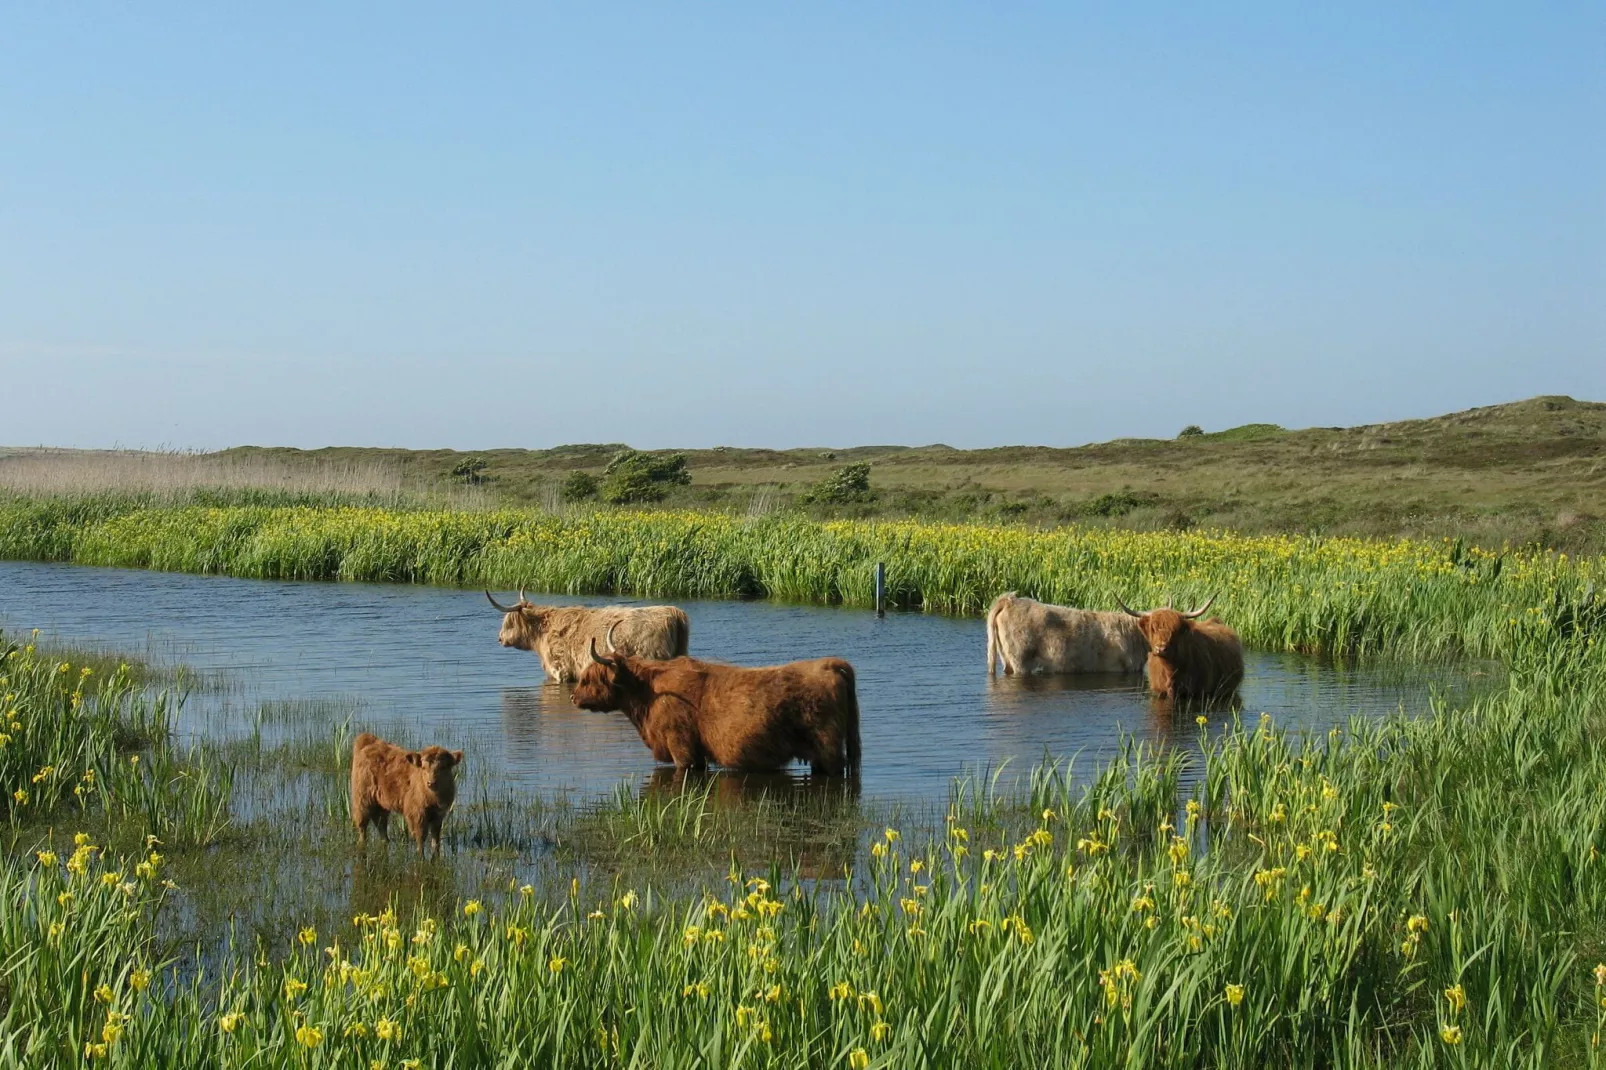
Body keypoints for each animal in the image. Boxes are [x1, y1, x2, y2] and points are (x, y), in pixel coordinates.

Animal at [568, 620, 860, 771]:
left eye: (588, 679)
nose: (573, 698)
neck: (649, 695)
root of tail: (828, 664)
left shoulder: (681, 747)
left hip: (828, 749)